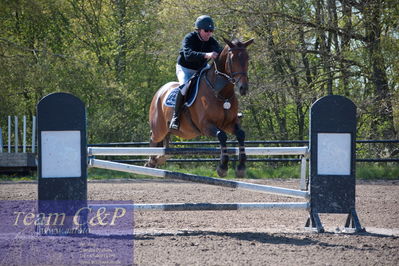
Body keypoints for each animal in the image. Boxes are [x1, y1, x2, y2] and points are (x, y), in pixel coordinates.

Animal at [146, 38, 253, 179]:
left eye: (247, 58)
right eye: (232, 59)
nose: (243, 88)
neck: (220, 93)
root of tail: (160, 92)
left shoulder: (229, 123)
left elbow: (241, 134)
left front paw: (241, 167)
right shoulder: (205, 125)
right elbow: (222, 136)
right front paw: (222, 167)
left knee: (166, 146)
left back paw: (158, 159)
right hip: (159, 129)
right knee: (153, 139)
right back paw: (151, 162)